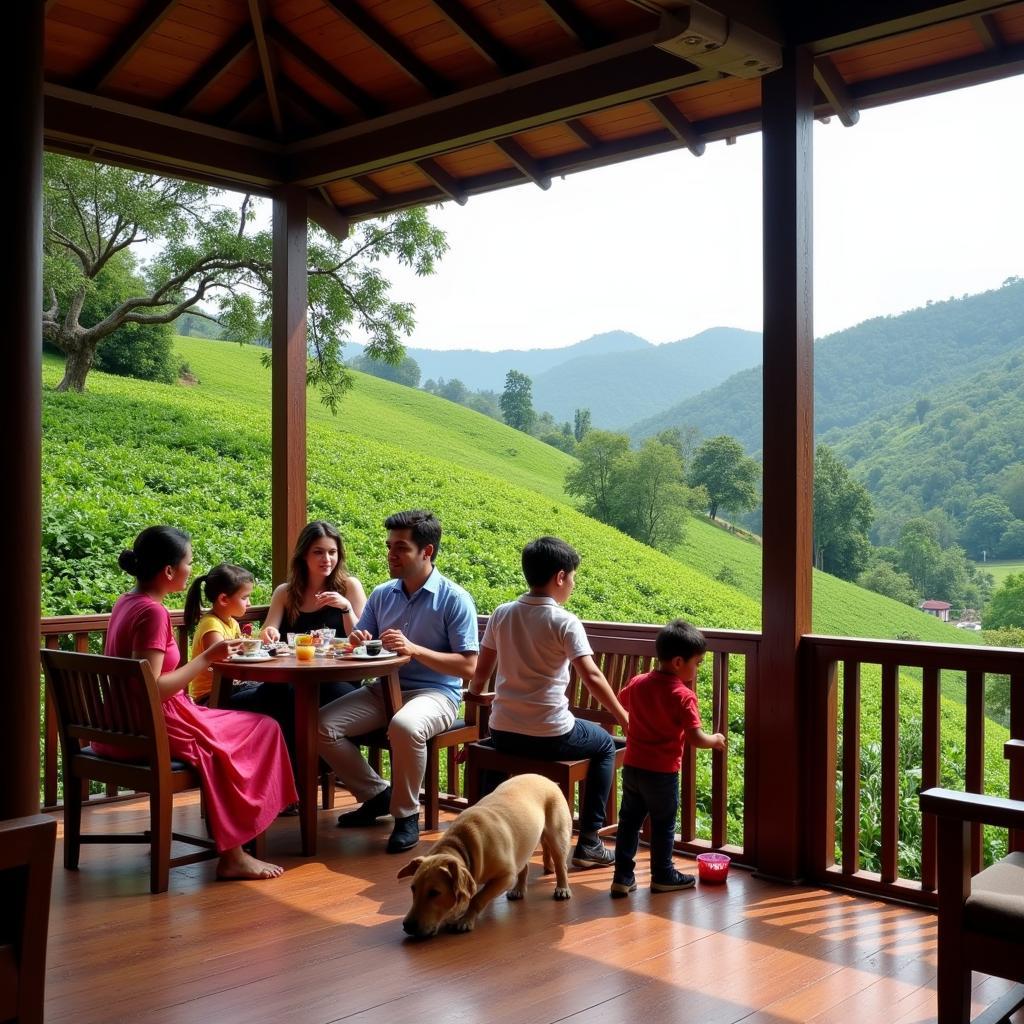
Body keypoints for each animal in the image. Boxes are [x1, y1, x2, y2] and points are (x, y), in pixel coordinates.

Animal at [395, 774, 573, 937]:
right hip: (523, 845)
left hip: (557, 836)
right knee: (524, 866)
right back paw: (519, 889)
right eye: (413, 888)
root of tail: (547, 779)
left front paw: (465, 919)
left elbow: (478, 898)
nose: (407, 926)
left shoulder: (506, 876)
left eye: (434, 893)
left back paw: (562, 888)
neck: (460, 845)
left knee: (561, 865)